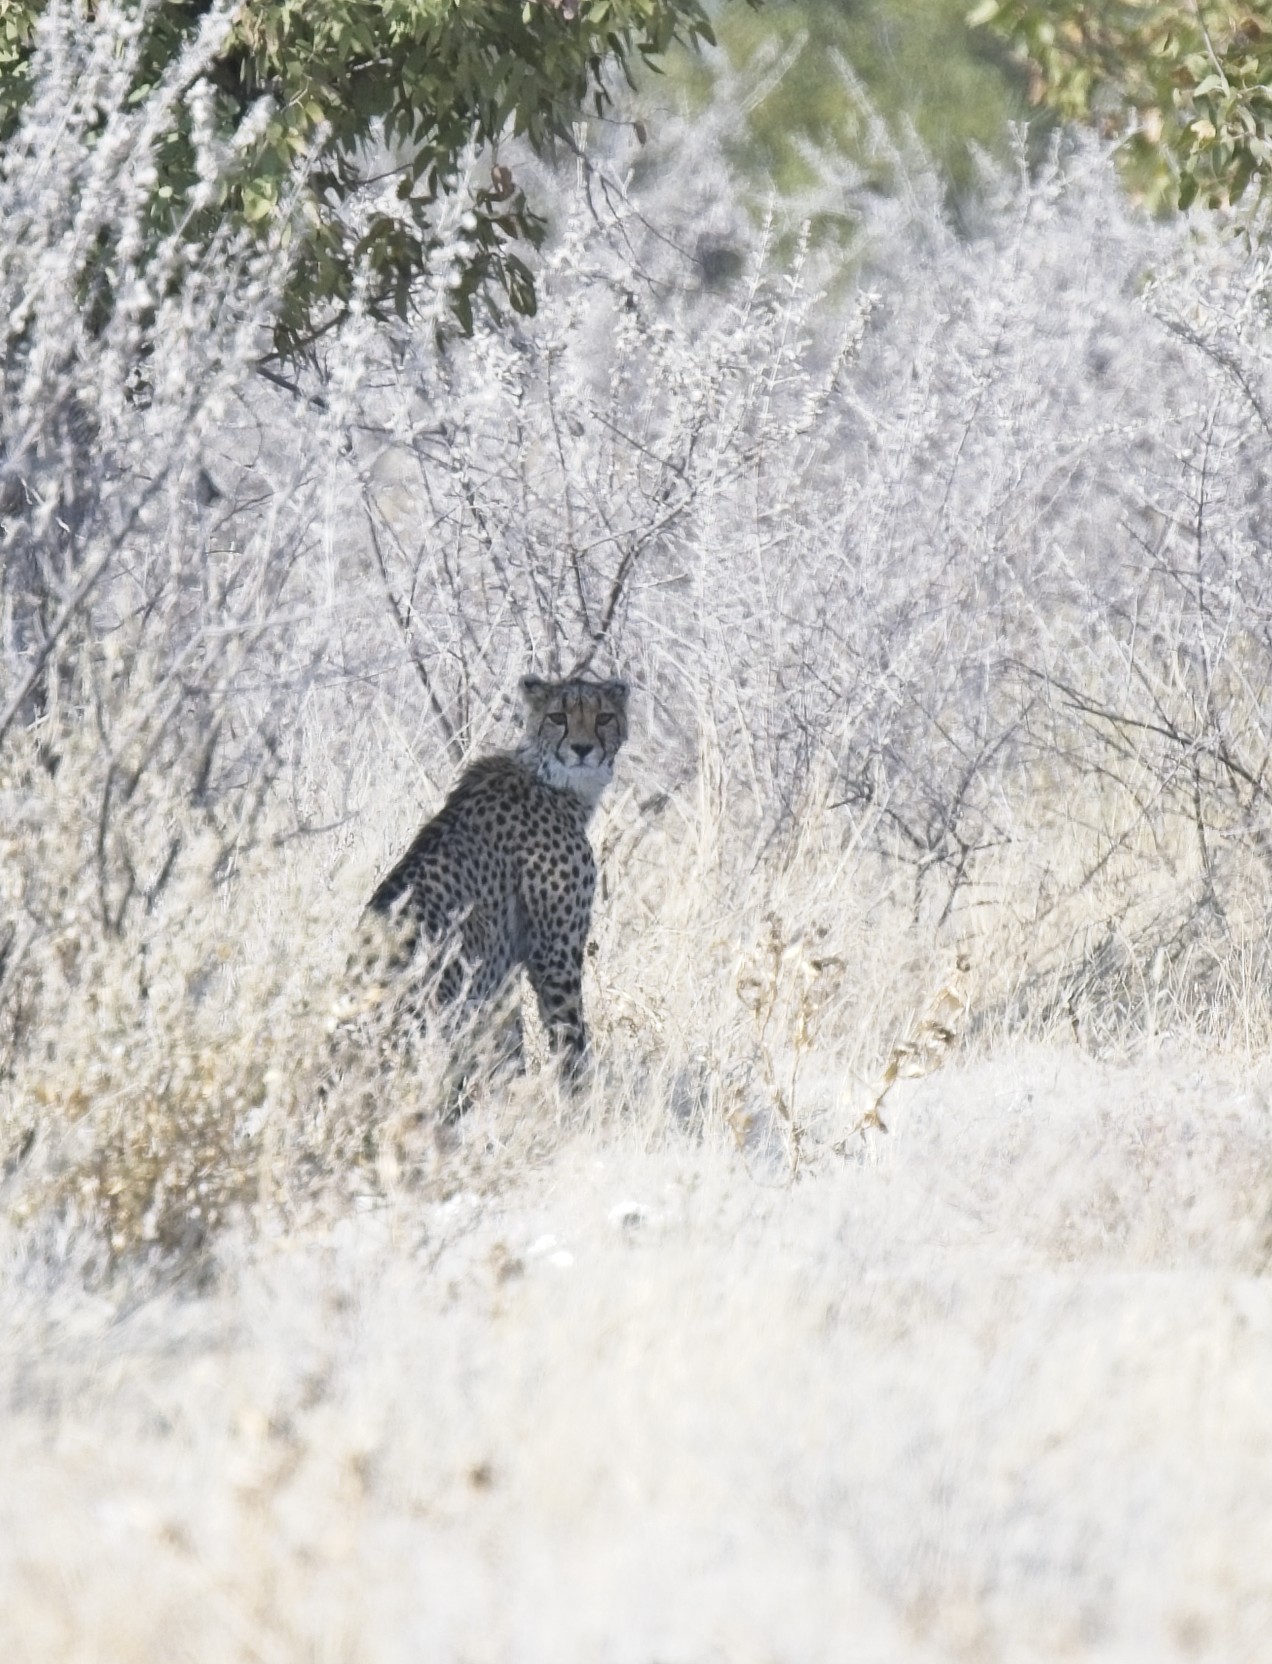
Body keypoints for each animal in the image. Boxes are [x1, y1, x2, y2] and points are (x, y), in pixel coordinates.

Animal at [364, 674, 629, 1088]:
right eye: (557, 716)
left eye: (604, 717)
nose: (582, 749)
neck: (551, 781)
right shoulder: (553, 955)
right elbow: (568, 1037)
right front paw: (580, 1095)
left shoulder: (502, 967)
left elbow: (510, 1043)